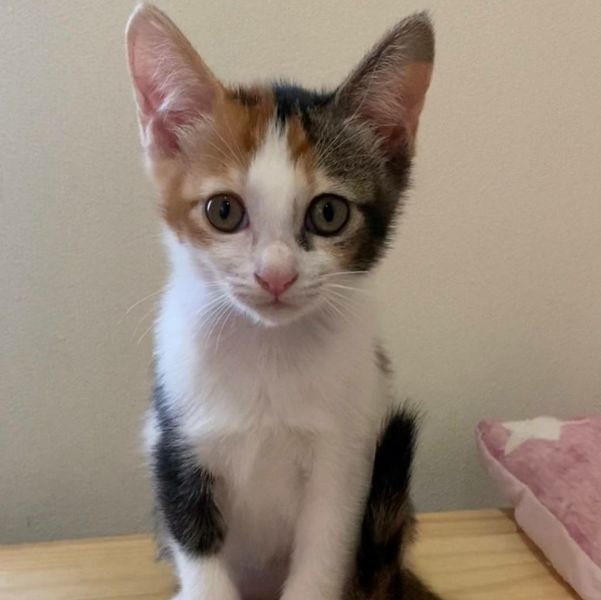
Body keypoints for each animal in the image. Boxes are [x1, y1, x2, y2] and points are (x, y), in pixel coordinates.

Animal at [126, 3, 440, 599]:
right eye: (223, 211)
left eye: (329, 213)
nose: (275, 275)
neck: (266, 351)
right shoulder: (172, 442)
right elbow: (199, 560)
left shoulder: (348, 459)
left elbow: (321, 558)